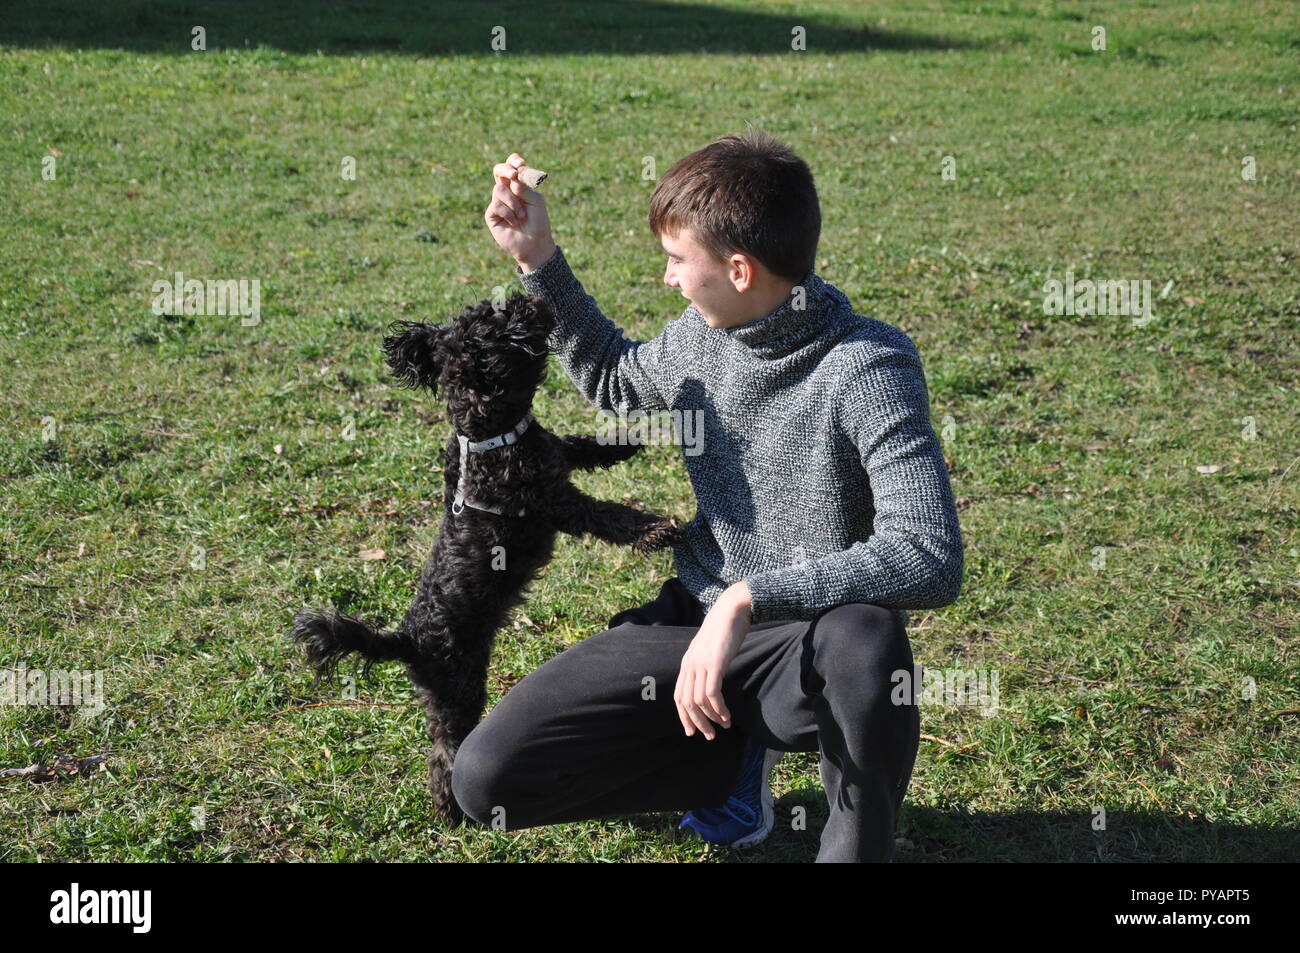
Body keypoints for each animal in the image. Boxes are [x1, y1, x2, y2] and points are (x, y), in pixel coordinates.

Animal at [291, 289, 686, 816]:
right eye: (501, 321)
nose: (528, 295)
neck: (485, 435)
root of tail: (407, 639)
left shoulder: (552, 453)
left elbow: (577, 445)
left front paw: (621, 443)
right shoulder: (555, 502)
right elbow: (610, 517)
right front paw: (657, 531)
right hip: (459, 688)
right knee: (445, 752)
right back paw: (451, 812)